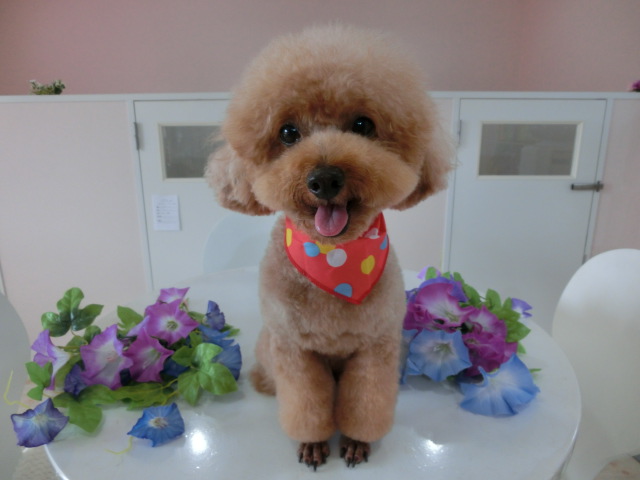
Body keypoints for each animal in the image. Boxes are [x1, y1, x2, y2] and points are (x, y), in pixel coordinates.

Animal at [206, 24, 451, 469]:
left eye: (363, 124)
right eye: (288, 132)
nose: (324, 179)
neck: (335, 261)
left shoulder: (376, 346)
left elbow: (367, 402)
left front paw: (355, 441)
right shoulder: (294, 349)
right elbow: (305, 403)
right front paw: (314, 442)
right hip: (269, 343)